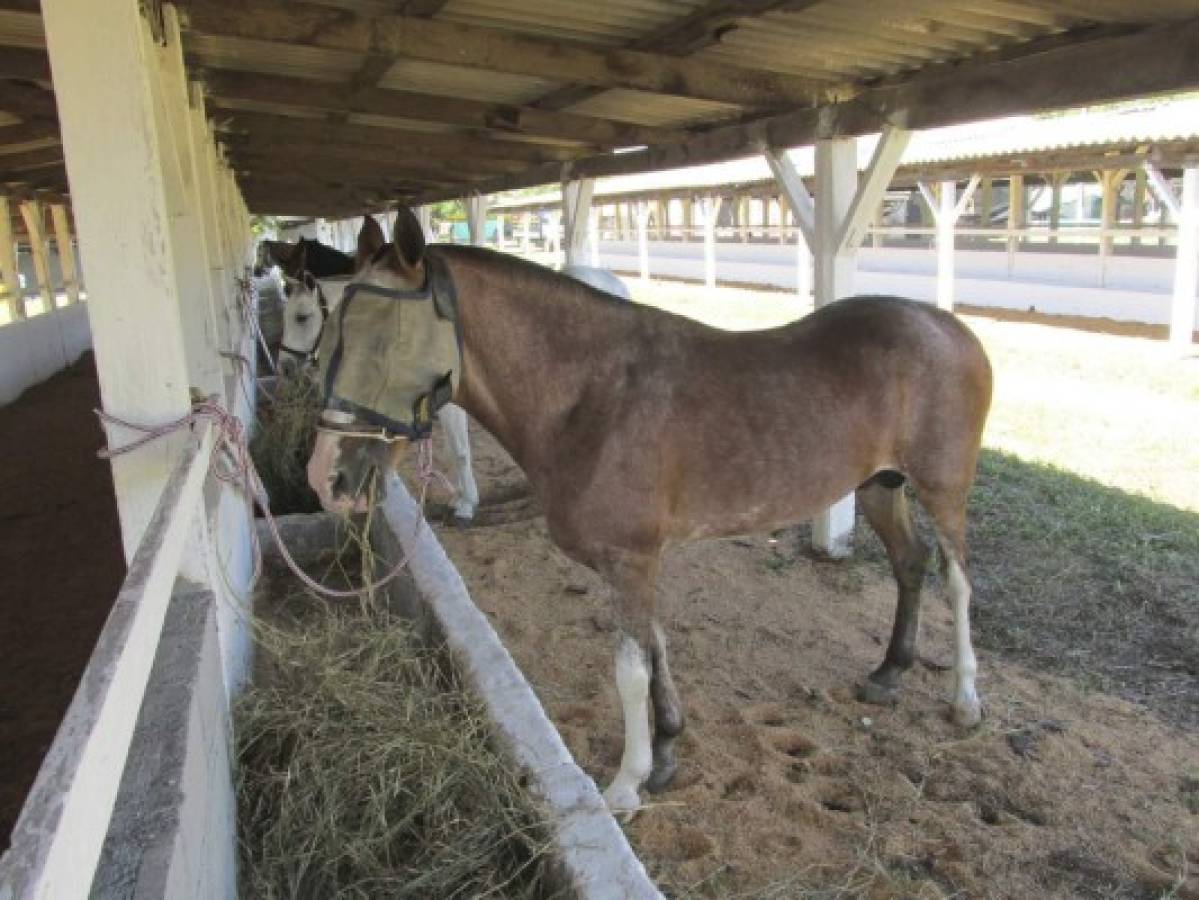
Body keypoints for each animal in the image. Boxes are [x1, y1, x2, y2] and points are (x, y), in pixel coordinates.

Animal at [309, 210, 992, 814]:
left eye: (386, 337)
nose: (325, 477)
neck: (592, 397)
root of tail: (948, 326)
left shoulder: (631, 560)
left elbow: (630, 670)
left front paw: (627, 784)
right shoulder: (638, 563)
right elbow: (657, 647)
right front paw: (665, 754)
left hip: (943, 487)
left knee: (957, 580)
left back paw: (964, 697)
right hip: (879, 484)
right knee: (910, 562)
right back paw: (889, 672)